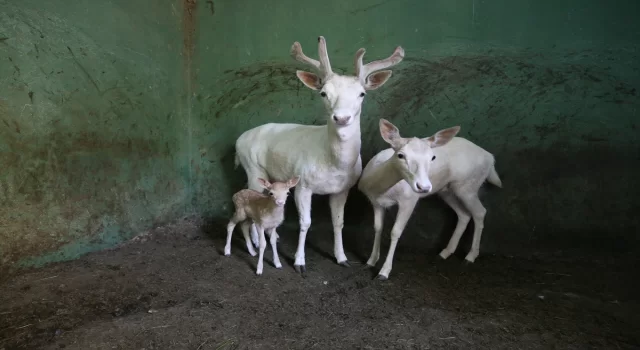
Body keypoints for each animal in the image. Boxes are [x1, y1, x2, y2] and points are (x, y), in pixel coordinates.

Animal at [235, 36, 404, 274]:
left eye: (362, 93)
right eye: (324, 93)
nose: (341, 118)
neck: (333, 165)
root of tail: (238, 141)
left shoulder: (343, 189)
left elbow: (339, 222)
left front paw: (342, 258)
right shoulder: (303, 185)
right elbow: (305, 222)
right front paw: (299, 262)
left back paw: (273, 236)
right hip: (252, 168)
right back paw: (258, 242)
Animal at [360, 119, 500, 280]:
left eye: (432, 157)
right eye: (400, 155)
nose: (424, 187)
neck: (380, 189)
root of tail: (491, 159)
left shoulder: (409, 199)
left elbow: (395, 232)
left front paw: (383, 272)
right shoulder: (376, 202)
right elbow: (377, 228)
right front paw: (370, 262)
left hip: (469, 186)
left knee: (480, 212)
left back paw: (470, 257)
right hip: (447, 191)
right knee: (464, 214)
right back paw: (445, 253)